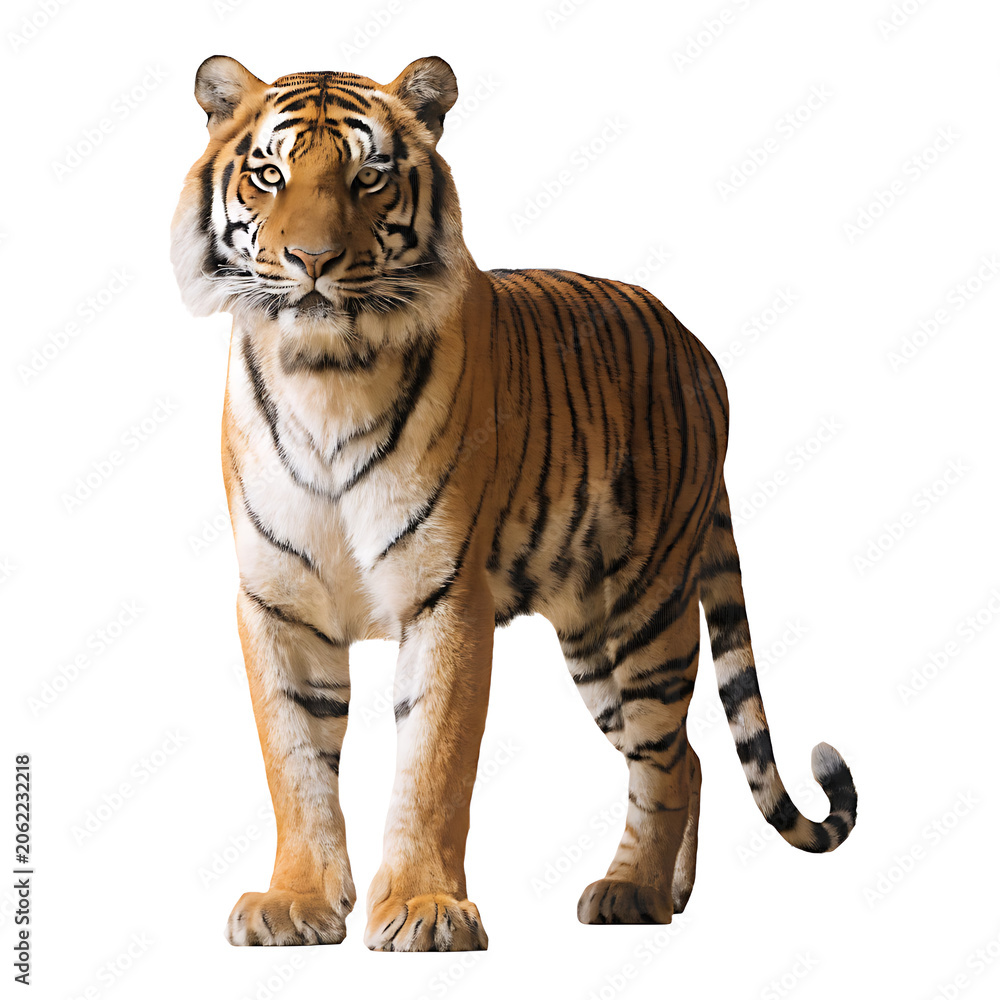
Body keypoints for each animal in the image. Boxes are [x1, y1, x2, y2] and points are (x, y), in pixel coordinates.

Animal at [170, 54, 858, 952]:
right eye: (268, 175)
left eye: (368, 176)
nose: (311, 258)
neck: (325, 373)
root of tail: (698, 349)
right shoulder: (278, 600)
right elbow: (293, 762)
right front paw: (295, 902)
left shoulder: (445, 594)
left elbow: (433, 761)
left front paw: (424, 908)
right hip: (593, 637)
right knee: (688, 755)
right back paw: (669, 891)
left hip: (645, 610)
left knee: (665, 758)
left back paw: (632, 892)